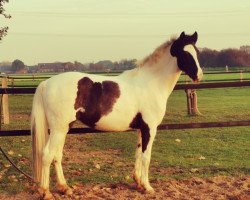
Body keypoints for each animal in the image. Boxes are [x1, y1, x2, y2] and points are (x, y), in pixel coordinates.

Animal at [31, 32, 203, 199]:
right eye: (185, 53)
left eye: (197, 52)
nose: (199, 76)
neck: (151, 83)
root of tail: (46, 83)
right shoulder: (149, 128)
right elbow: (146, 157)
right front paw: (148, 187)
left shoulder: (140, 128)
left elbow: (138, 154)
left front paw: (139, 183)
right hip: (58, 129)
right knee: (47, 155)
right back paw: (45, 192)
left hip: (64, 128)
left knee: (57, 156)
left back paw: (64, 188)